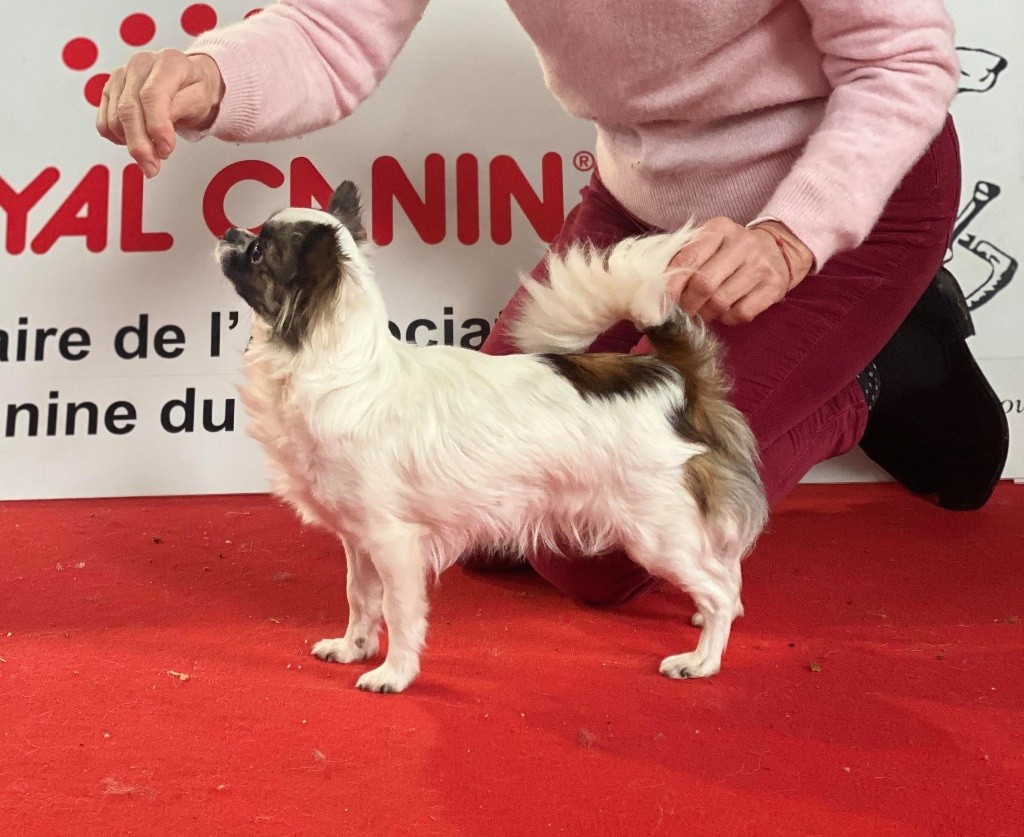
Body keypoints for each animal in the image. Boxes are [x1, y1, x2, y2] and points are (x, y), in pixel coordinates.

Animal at [216, 180, 768, 693]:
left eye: (259, 251)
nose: (228, 233)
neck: (340, 369)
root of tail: (673, 378)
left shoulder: (394, 541)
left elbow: (399, 612)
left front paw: (394, 673)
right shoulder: (359, 539)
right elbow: (360, 598)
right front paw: (353, 648)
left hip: (655, 531)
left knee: (718, 588)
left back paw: (702, 659)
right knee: (726, 570)